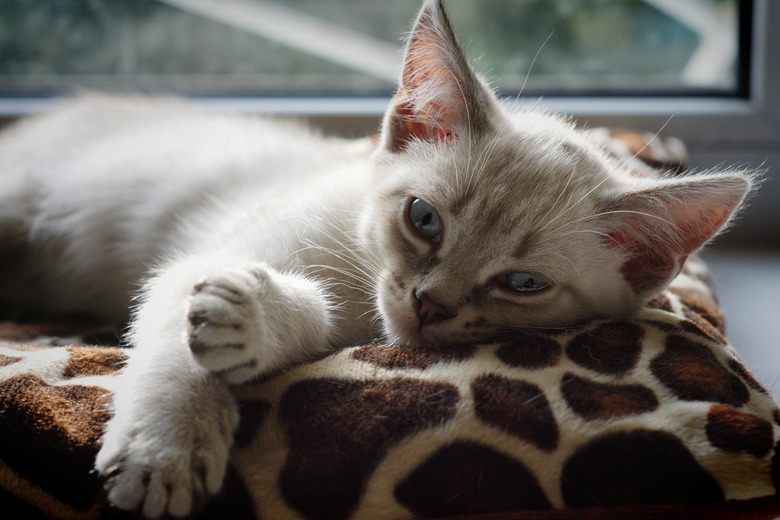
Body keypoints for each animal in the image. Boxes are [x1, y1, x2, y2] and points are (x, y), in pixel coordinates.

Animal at [0, 0, 756, 516]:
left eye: (522, 282)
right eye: (424, 219)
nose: (430, 304)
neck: (359, 290)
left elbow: (300, 318)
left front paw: (255, 320)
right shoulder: (201, 260)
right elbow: (182, 351)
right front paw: (168, 450)